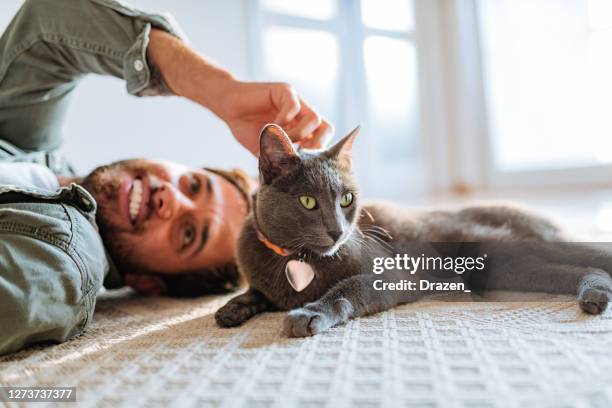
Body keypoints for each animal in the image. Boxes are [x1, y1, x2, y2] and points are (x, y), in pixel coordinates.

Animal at [214, 124, 612, 338]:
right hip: (507, 267)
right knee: (584, 267)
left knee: (591, 260)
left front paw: (310, 313)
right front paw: (232, 308)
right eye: (308, 202)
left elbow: (347, 288)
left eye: (346, 198)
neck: (298, 261)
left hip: (507, 250)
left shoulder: (392, 273)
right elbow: (257, 291)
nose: (338, 231)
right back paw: (596, 297)